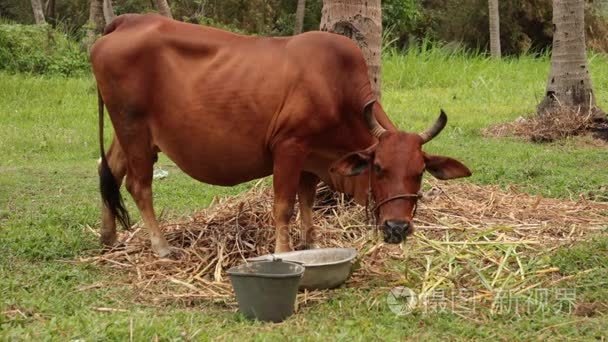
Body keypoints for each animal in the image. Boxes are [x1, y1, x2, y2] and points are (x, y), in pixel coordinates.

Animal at [91, 14, 470, 258]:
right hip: (134, 128)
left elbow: (307, 203)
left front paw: (311, 244)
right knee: (139, 185)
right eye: (378, 168)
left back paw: (109, 237)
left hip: (129, 131)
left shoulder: (311, 157)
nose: (396, 228)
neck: (337, 88)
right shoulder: (289, 147)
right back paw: (161, 247)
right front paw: (284, 251)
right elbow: (285, 206)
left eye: (419, 173)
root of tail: (127, 20)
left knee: (109, 169)